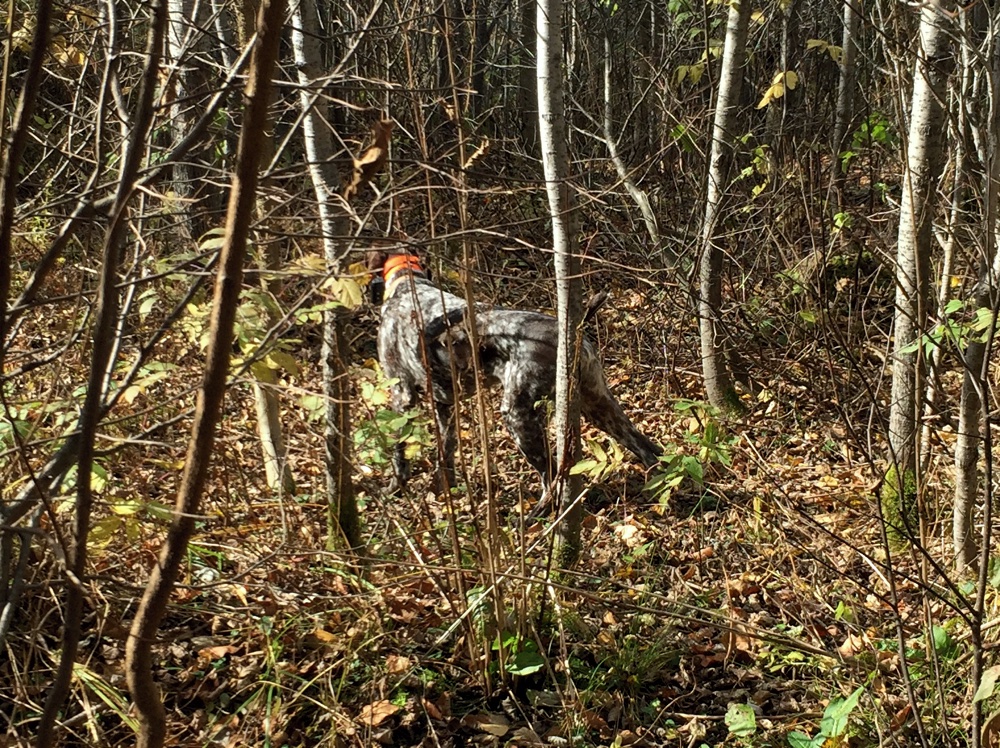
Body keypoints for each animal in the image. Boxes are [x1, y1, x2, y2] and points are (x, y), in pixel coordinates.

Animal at [364, 250, 660, 502]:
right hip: (598, 404)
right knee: (647, 449)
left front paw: (393, 489)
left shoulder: (402, 394)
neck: (408, 283)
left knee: (551, 477)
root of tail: (572, 334)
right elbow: (445, 454)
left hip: (518, 415)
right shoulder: (445, 403)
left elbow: (399, 453)